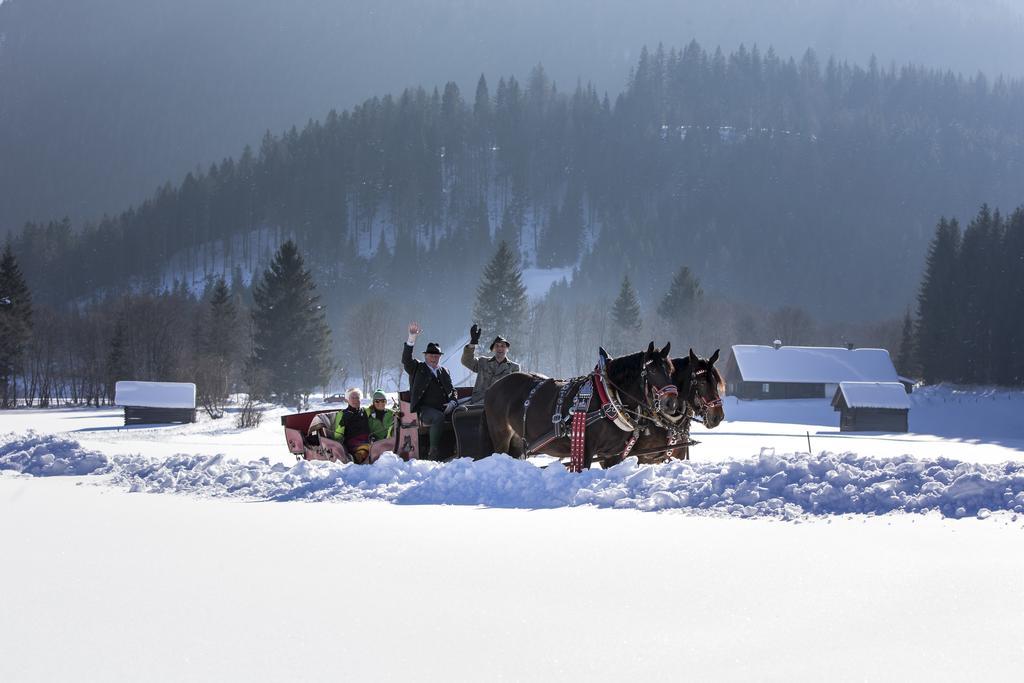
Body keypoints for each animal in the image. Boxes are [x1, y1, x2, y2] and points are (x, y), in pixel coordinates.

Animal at [481, 342, 679, 471]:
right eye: (652, 370)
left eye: (670, 370)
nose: (671, 402)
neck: (608, 398)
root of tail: (494, 387)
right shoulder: (585, 450)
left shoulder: (612, 455)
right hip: (501, 435)